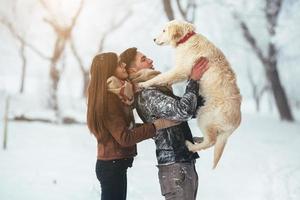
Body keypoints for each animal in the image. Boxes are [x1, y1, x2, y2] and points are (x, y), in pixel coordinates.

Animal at [139, 19, 243, 169]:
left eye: (164, 30)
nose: (153, 39)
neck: (186, 39)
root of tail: (236, 123)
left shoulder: (180, 70)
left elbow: (161, 77)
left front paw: (143, 83)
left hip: (204, 115)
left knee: (211, 141)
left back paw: (190, 146)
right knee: (212, 138)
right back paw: (197, 139)